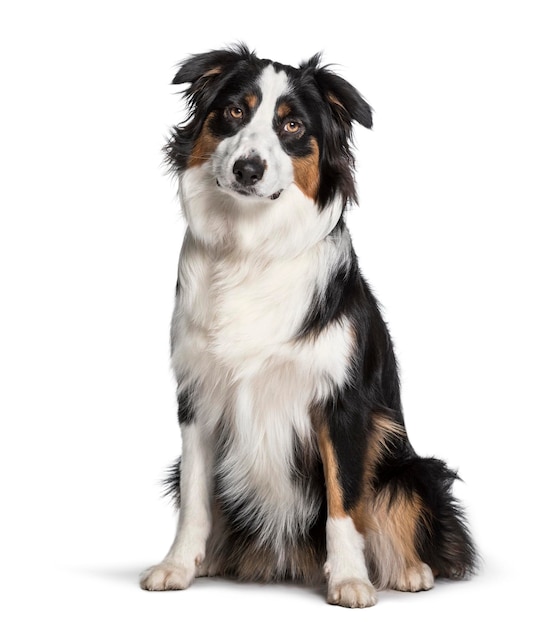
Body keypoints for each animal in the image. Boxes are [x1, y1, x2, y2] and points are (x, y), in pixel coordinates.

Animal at [138, 42, 474, 604]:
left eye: (291, 125)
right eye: (235, 112)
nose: (248, 169)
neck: (251, 249)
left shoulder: (341, 403)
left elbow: (345, 501)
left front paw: (351, 580)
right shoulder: (197, 396)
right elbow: (196, 498)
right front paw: (178, 566)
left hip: (411, 466)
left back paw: (409, 571)